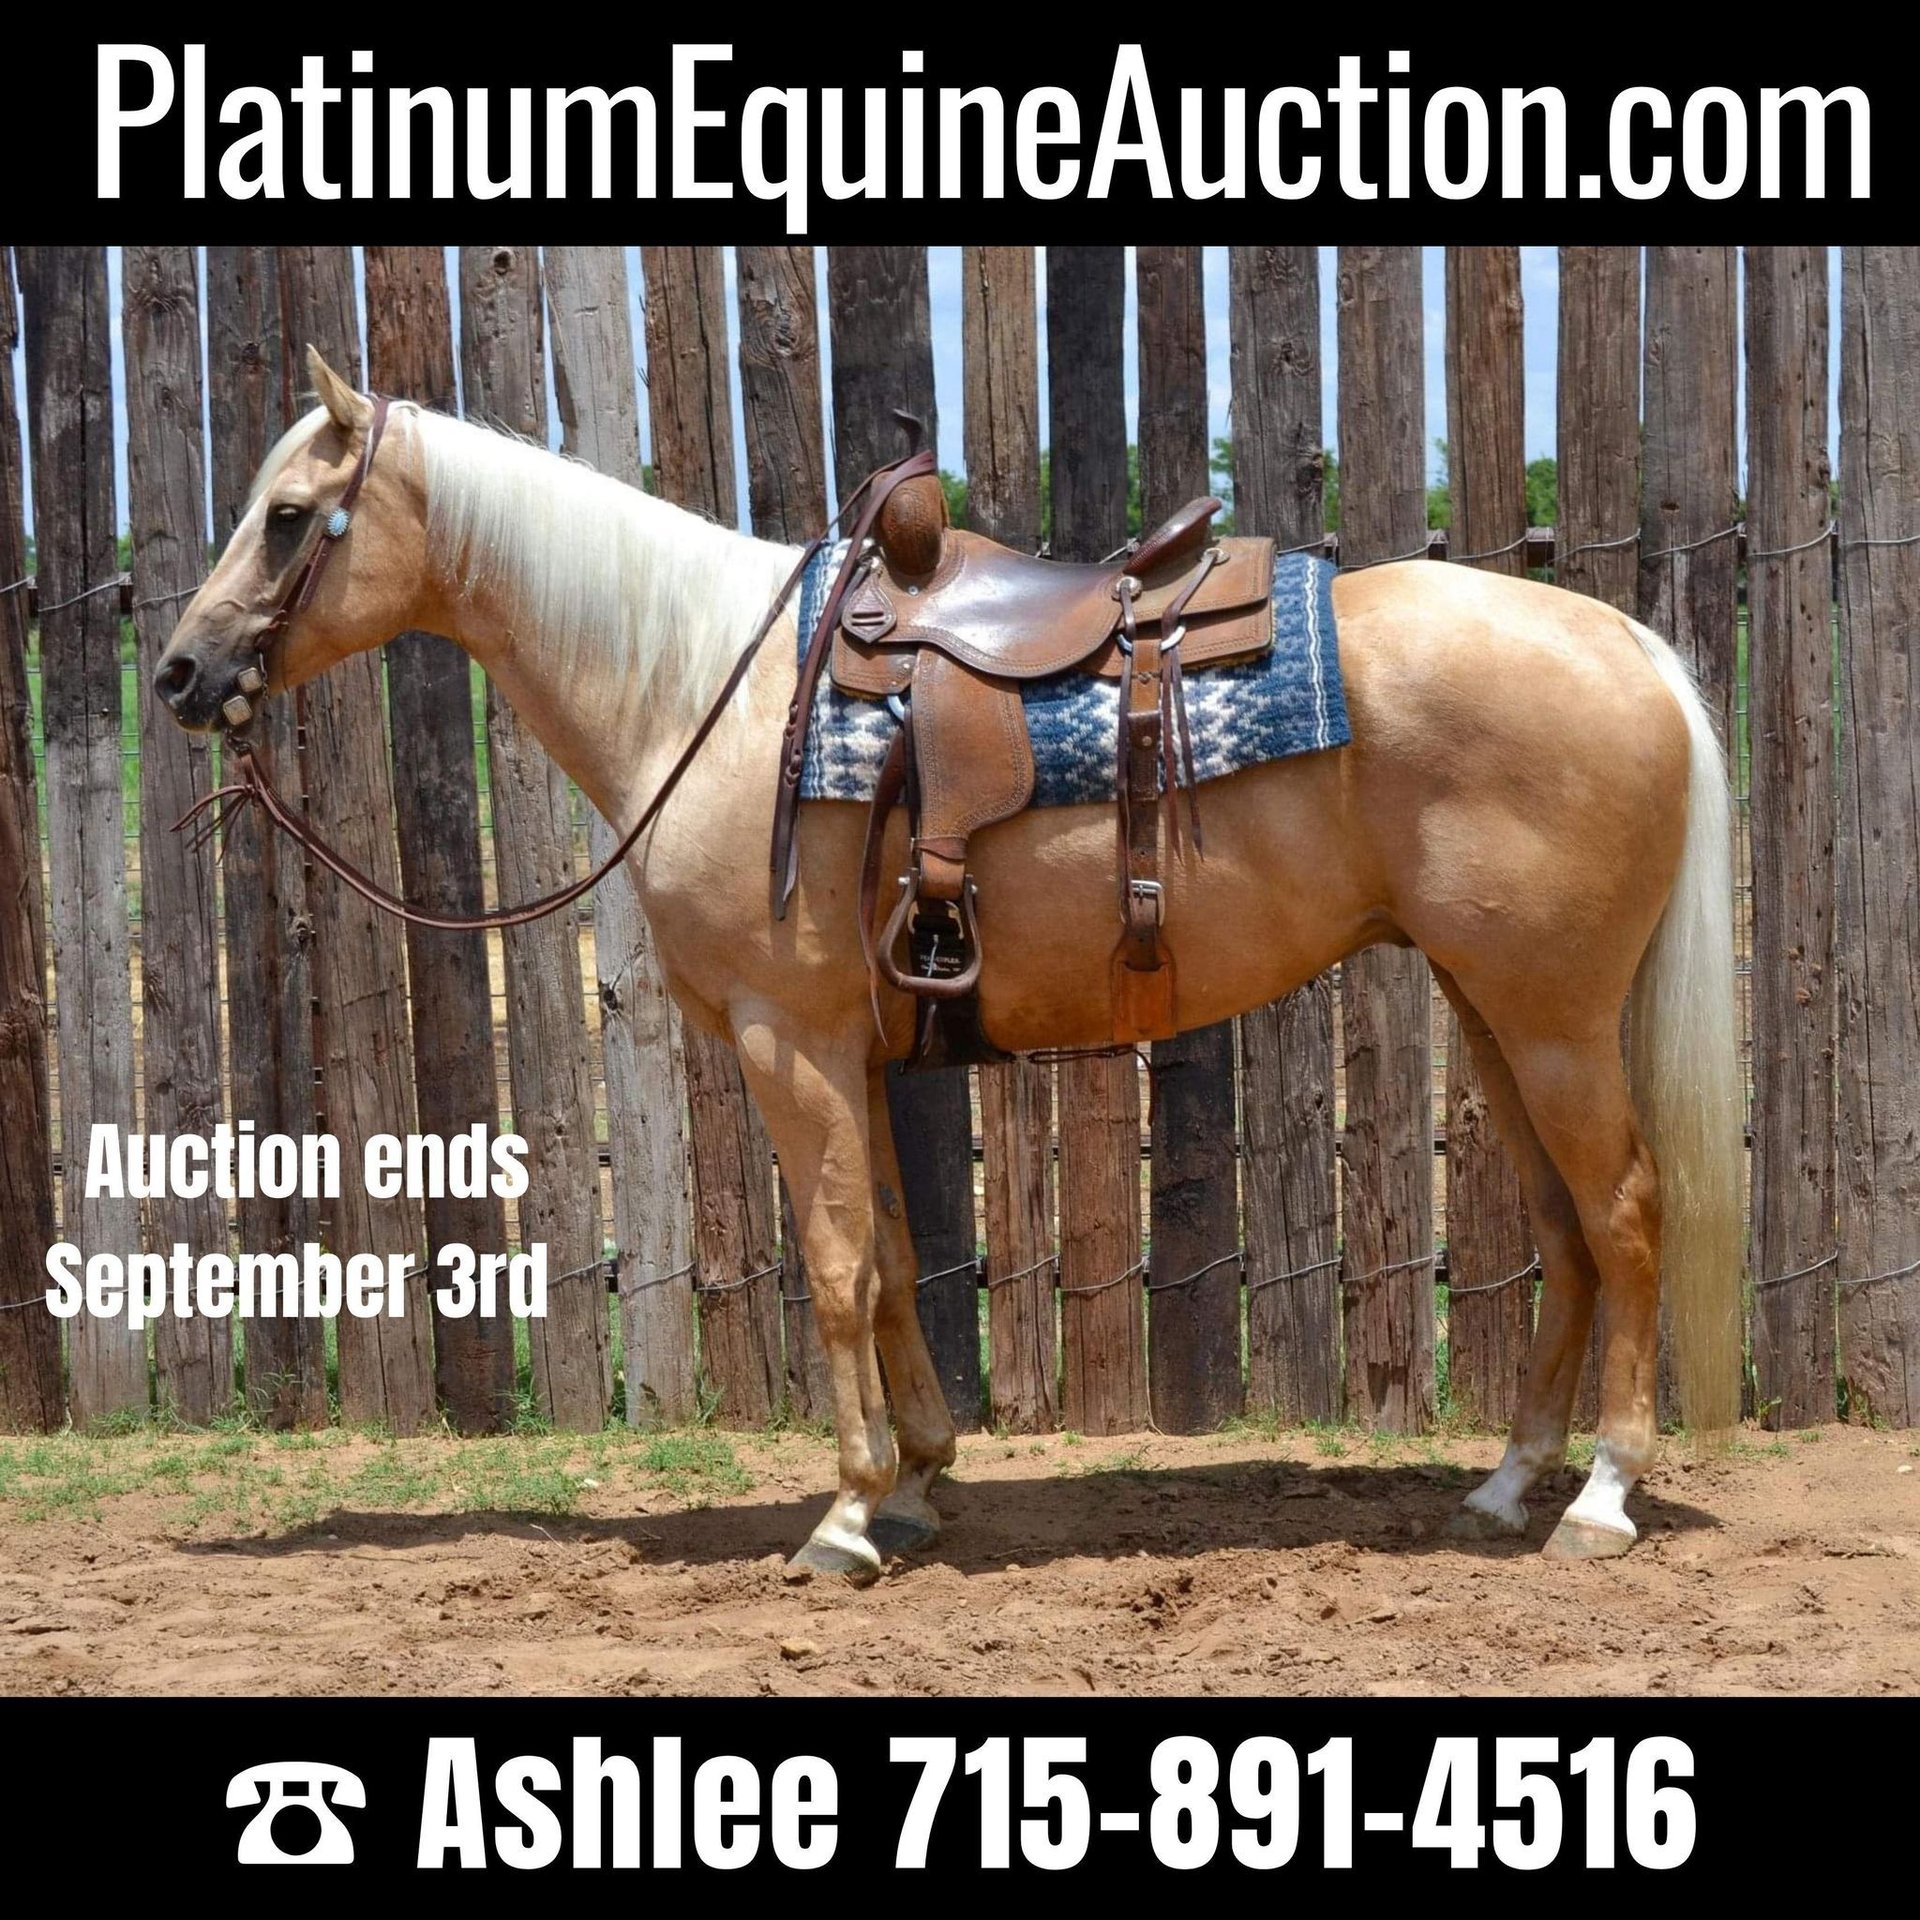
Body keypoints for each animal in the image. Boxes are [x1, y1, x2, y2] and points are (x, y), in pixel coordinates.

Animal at [155, 347, 1745, 1583]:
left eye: (287, 517)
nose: (178, 674)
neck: (704, 691)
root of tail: (1633, 651)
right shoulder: (850, 1052)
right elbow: (899, 1257)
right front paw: (917, 1482)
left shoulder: (786, 1037)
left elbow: (839, 1265)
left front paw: (847, 1517)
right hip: (1491, 1009)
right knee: (1563, 1229)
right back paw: (1507, 1485)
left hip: (1552, 1016)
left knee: (1624, 1212)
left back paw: (1602, 1499)